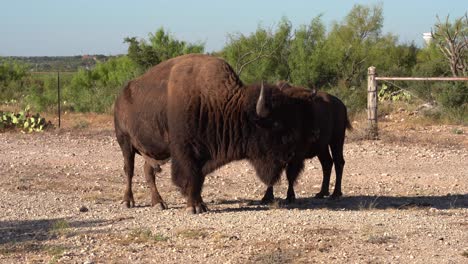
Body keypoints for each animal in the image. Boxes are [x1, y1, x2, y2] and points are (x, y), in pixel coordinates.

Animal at [114, 53, 316, 212]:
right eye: (276, 124)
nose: (291, 154)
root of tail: (120, 97)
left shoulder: (203, 155)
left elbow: (199, 179)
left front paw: (200, 204)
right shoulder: (185, 152)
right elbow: (190, 176)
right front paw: (194, 207)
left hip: (153, 151)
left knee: (148, 171)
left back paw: (158, 203)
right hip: (125, 143)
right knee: (129, 170)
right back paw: (128, 201)